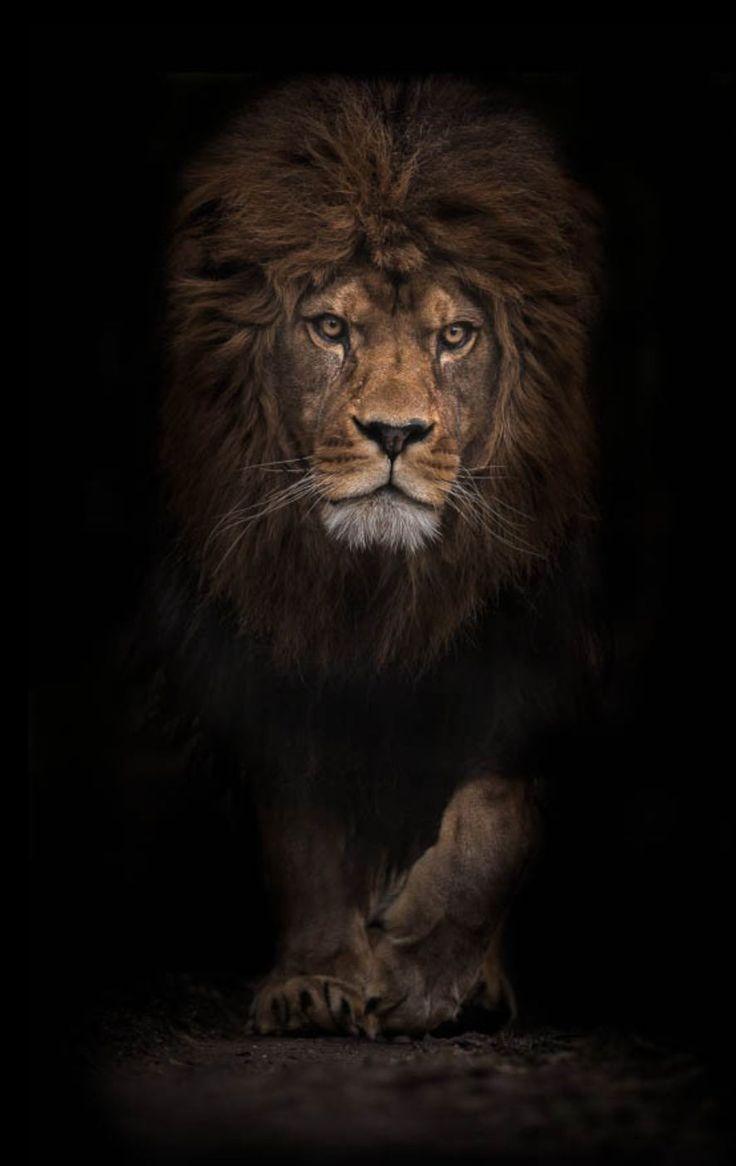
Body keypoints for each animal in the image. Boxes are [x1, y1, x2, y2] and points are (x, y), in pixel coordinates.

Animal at [154, 75, 600, 1037]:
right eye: (330, 328)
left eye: (456, 336)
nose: (395, 433)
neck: (381, 589)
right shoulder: (271, 647)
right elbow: (303, 830)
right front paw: (318, 978)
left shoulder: (548, 648)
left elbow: (497, 815)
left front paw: (425, 975)